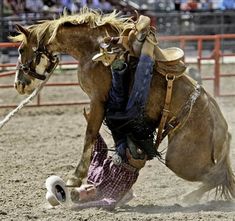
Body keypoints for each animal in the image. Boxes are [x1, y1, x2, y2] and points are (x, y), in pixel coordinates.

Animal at [11, 8, 235, 201]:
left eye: (21, 50)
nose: (18, 84)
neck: (92, 49)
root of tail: (223, 131)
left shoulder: (98, 100)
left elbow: (90, 134)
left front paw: (75, 177)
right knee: (219, 176)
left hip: (178, 159)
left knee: (217, 175)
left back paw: (186, 198)